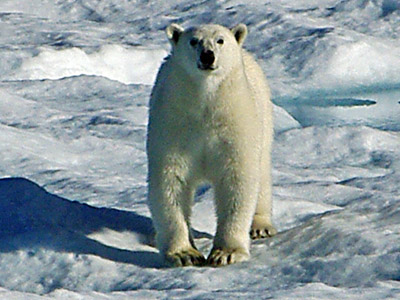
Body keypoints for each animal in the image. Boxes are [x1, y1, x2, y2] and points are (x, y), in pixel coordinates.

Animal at [146, 23, 276, 268]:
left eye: (220, 40)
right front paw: (185, 254)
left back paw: (261, 227)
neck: (206, 107)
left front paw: (227, 253)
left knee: (262, 172)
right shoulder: (173, 125)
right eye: (193, 41)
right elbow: (171, 182)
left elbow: (237, 181)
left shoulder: (235, 124)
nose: (208, 56)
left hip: (262, 116)